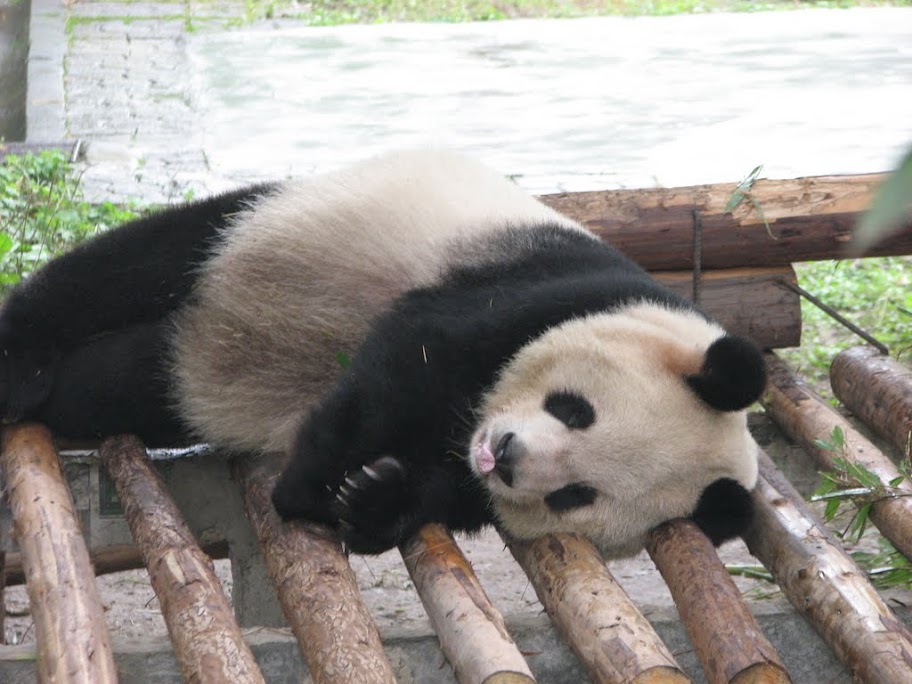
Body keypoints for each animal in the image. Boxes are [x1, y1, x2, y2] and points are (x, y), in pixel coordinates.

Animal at [0, 149, 765, 556]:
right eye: (576, 409)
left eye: (577, 495)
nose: (506, 454)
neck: (470, 416)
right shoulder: (544, 289)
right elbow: (404, 360)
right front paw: (307, 484)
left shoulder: (472, 481)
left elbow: (444, 496)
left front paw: (370, 497)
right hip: (275, 226)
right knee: (137, 260)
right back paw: (19, 361)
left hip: (178, 373)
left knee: (117, 382)